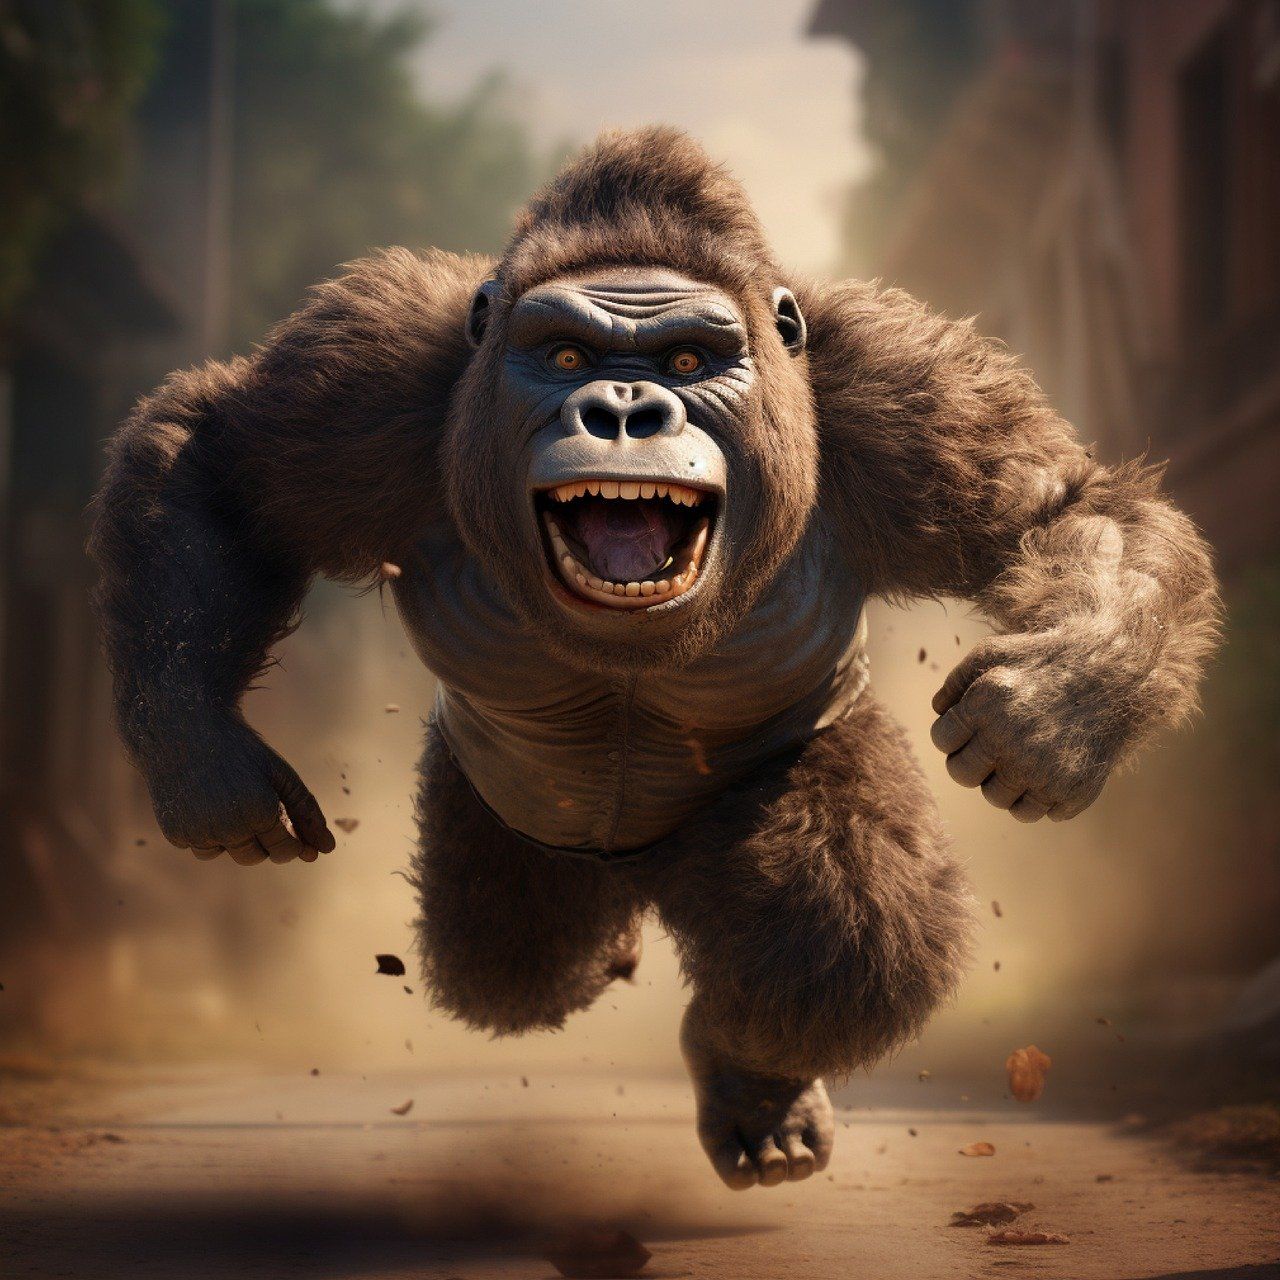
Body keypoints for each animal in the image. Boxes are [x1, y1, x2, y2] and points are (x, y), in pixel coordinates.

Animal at [89, 127, 1219, 1189]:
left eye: (685, 362)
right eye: (560, 356)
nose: (624, 409)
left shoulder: (902, 395)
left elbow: (1063, 511)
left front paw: (1057, 703)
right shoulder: (364, 378)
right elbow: (223, 466)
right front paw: (205, 760)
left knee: (834, 920)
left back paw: (752, 1080)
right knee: (510, 961)